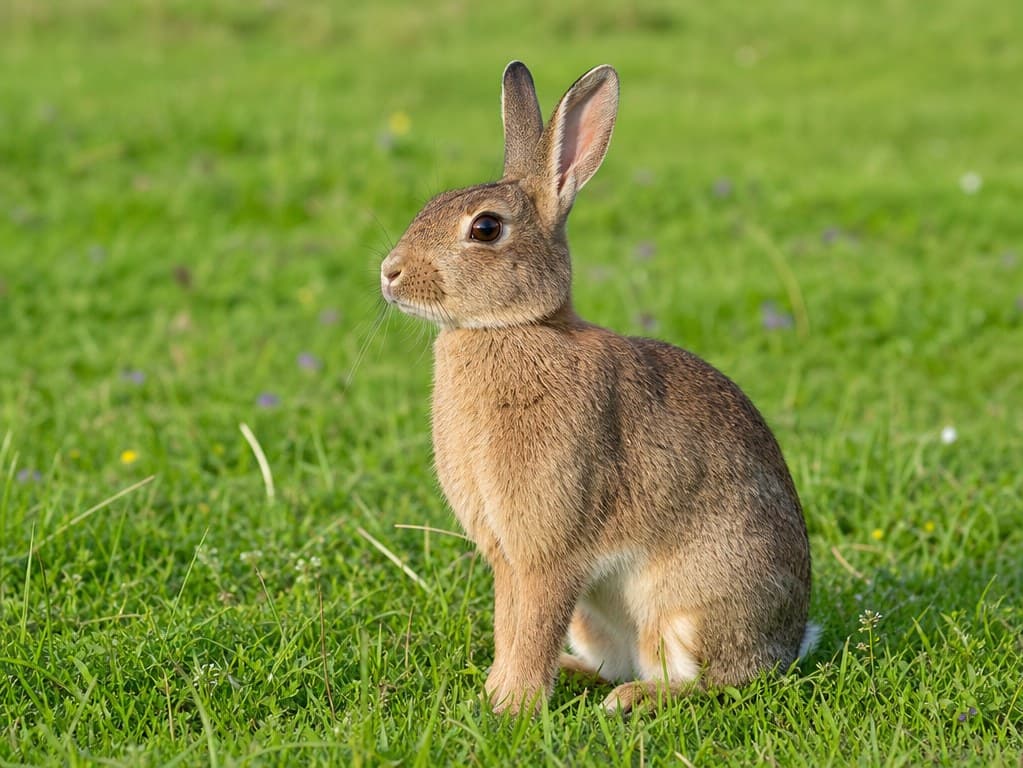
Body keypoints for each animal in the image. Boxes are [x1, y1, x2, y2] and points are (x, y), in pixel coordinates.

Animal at [380, 61, 815, 715]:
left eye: (486, 228)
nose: (389, 273)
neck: (512, 327)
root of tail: (791, 641)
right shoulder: (507, 555)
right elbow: (510, 623)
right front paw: (495, 693)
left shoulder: (549, 549)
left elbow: (531, 623)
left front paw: (511, 707)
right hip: (595, 621)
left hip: (693, 608)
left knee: (715, 682)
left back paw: (634, 699)